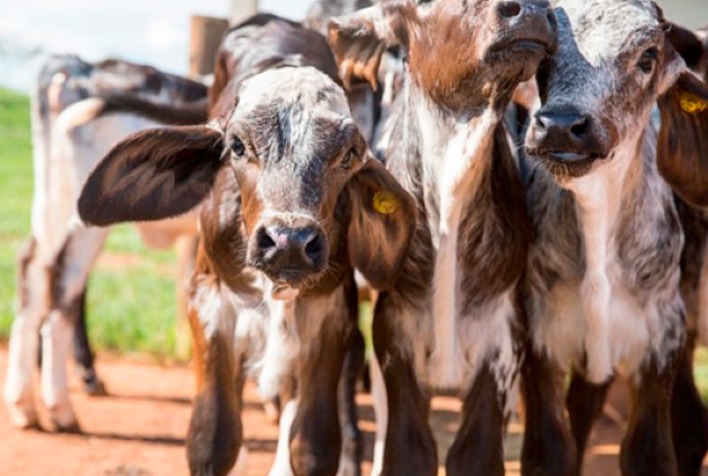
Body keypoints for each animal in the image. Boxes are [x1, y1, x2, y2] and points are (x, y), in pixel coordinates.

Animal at [4, 54, 206, 432]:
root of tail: (75, 65)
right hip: (83, 216)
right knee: (66, 282)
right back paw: (62, 403)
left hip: (53, 207)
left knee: (35, 270)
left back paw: (24, 403)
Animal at [77, 16, 414, 476]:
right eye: (237, 146)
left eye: (349, 154)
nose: (289, 241)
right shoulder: (208, 302)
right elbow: (212, 437)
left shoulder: (330, 314)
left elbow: (313, 443)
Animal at [520, 1, 708, 474]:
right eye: (544, 51)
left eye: (647, 55)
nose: (560, 126)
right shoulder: (540, 338)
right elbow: (553, 451)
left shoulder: (660, 341)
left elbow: (650, 454)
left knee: (691, 424)